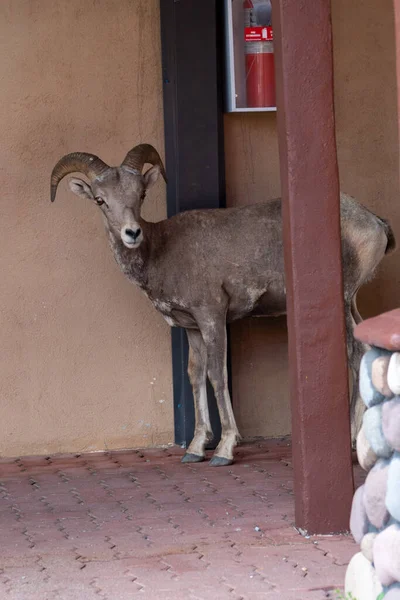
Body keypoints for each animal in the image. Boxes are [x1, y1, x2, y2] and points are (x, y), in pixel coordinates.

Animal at [50, 143, 396, 466]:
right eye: (100, 200)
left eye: (141, 194)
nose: (132, 233)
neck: (161, 251)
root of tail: (375, 223)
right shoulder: (191, 328)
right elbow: (196, 374)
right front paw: (194, 449)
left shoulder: (212, 316)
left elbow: (217, 374)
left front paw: (224, 450)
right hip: (351, 303)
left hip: (340, 299)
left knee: (358, 352)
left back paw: (350, 441)